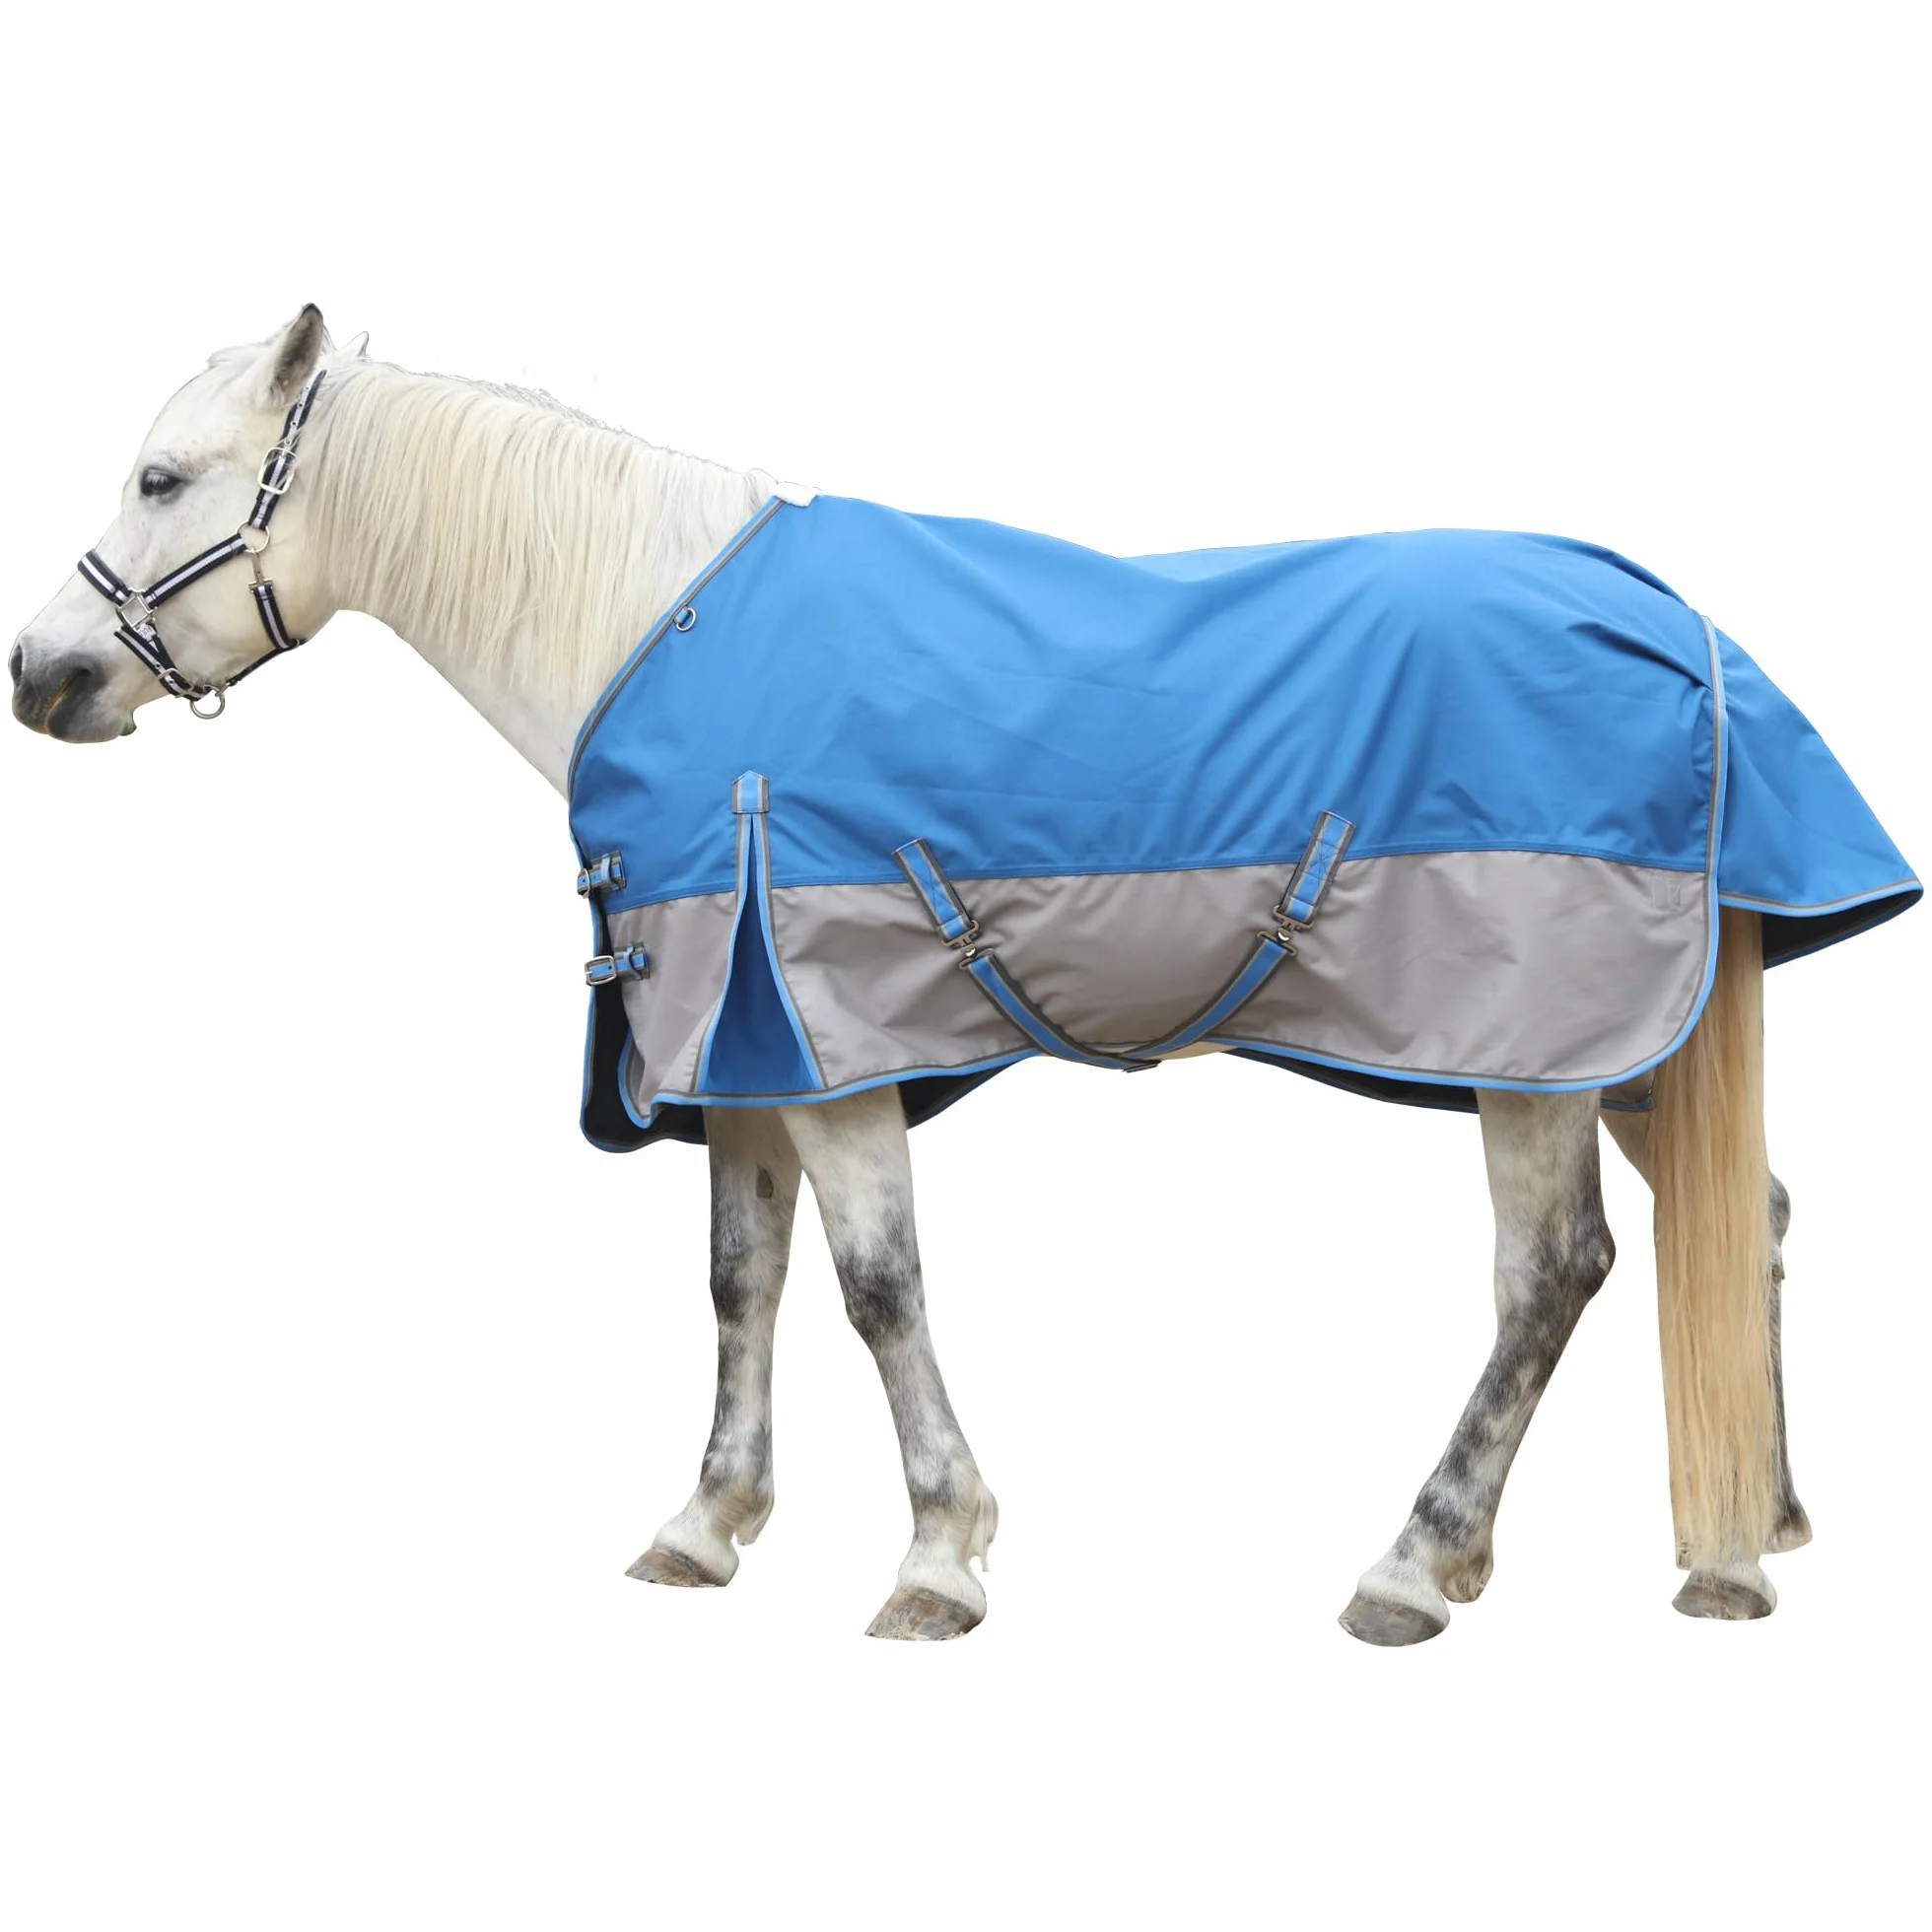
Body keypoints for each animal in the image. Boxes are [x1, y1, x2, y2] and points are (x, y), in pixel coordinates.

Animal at [11, 305, 1910, 1644]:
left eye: (165, 478)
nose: (41, 675)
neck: (652, 625)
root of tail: (1680, 625)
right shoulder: (746, 1053)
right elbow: (742, 1287)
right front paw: (706, 1527)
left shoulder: (828, 1048)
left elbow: (878, 1292)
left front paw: (938, 1557)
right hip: (1642, 1039)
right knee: (1745, 1218)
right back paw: (1751, 1543)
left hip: (1535, 1054)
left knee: (1553, 1273)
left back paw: (1416, 1564)